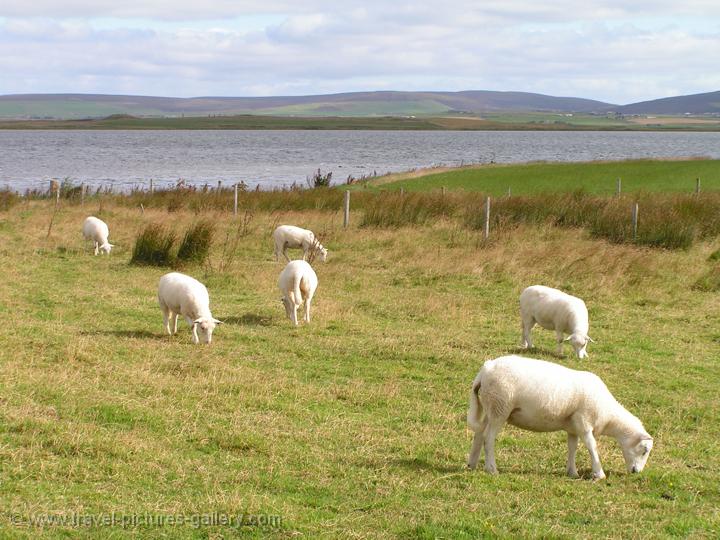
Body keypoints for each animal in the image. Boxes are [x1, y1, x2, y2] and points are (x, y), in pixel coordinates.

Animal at [466, 356, 652, 478]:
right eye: (644, 450)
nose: (636, 472)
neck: (609, 415)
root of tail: (486, 369)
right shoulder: (584, 422)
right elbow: (592, 446)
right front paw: (599, 474)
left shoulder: (573, 427)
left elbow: (572, 448)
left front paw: (572, 472)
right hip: (500, 407)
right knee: (488, 438)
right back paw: (492, 469)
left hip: (491, 407)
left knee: (479, 434)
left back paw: (471, 465)